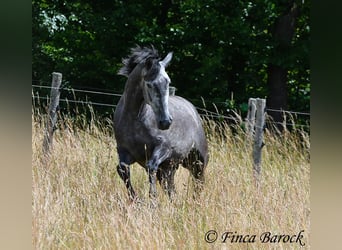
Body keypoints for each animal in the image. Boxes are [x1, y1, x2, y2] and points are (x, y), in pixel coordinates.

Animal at [114, 45, 208, 200]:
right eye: (149, 84)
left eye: (168, 81)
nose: (165, 122)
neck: (135, 120)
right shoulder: (123, 151)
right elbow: (122, 169)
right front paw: (136, 199)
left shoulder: (164, 148)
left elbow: (151, 166)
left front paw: (152, 198)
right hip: (170, 167)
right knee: (171, 188)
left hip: (198, 160)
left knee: (198, 182)